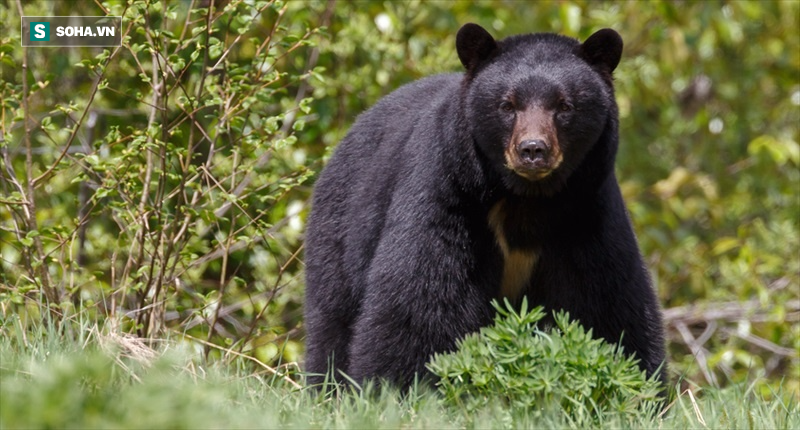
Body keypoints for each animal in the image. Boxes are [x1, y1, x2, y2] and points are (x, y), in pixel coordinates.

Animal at [304, 23, 664, 390]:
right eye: (507, 105)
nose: (533, 150)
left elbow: (605, 303)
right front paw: (396, 387)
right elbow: (422, 299)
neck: (526, 198)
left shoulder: (586, 212)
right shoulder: (449, 195)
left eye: (564, 105)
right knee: (333, 319)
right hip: (342, 228)